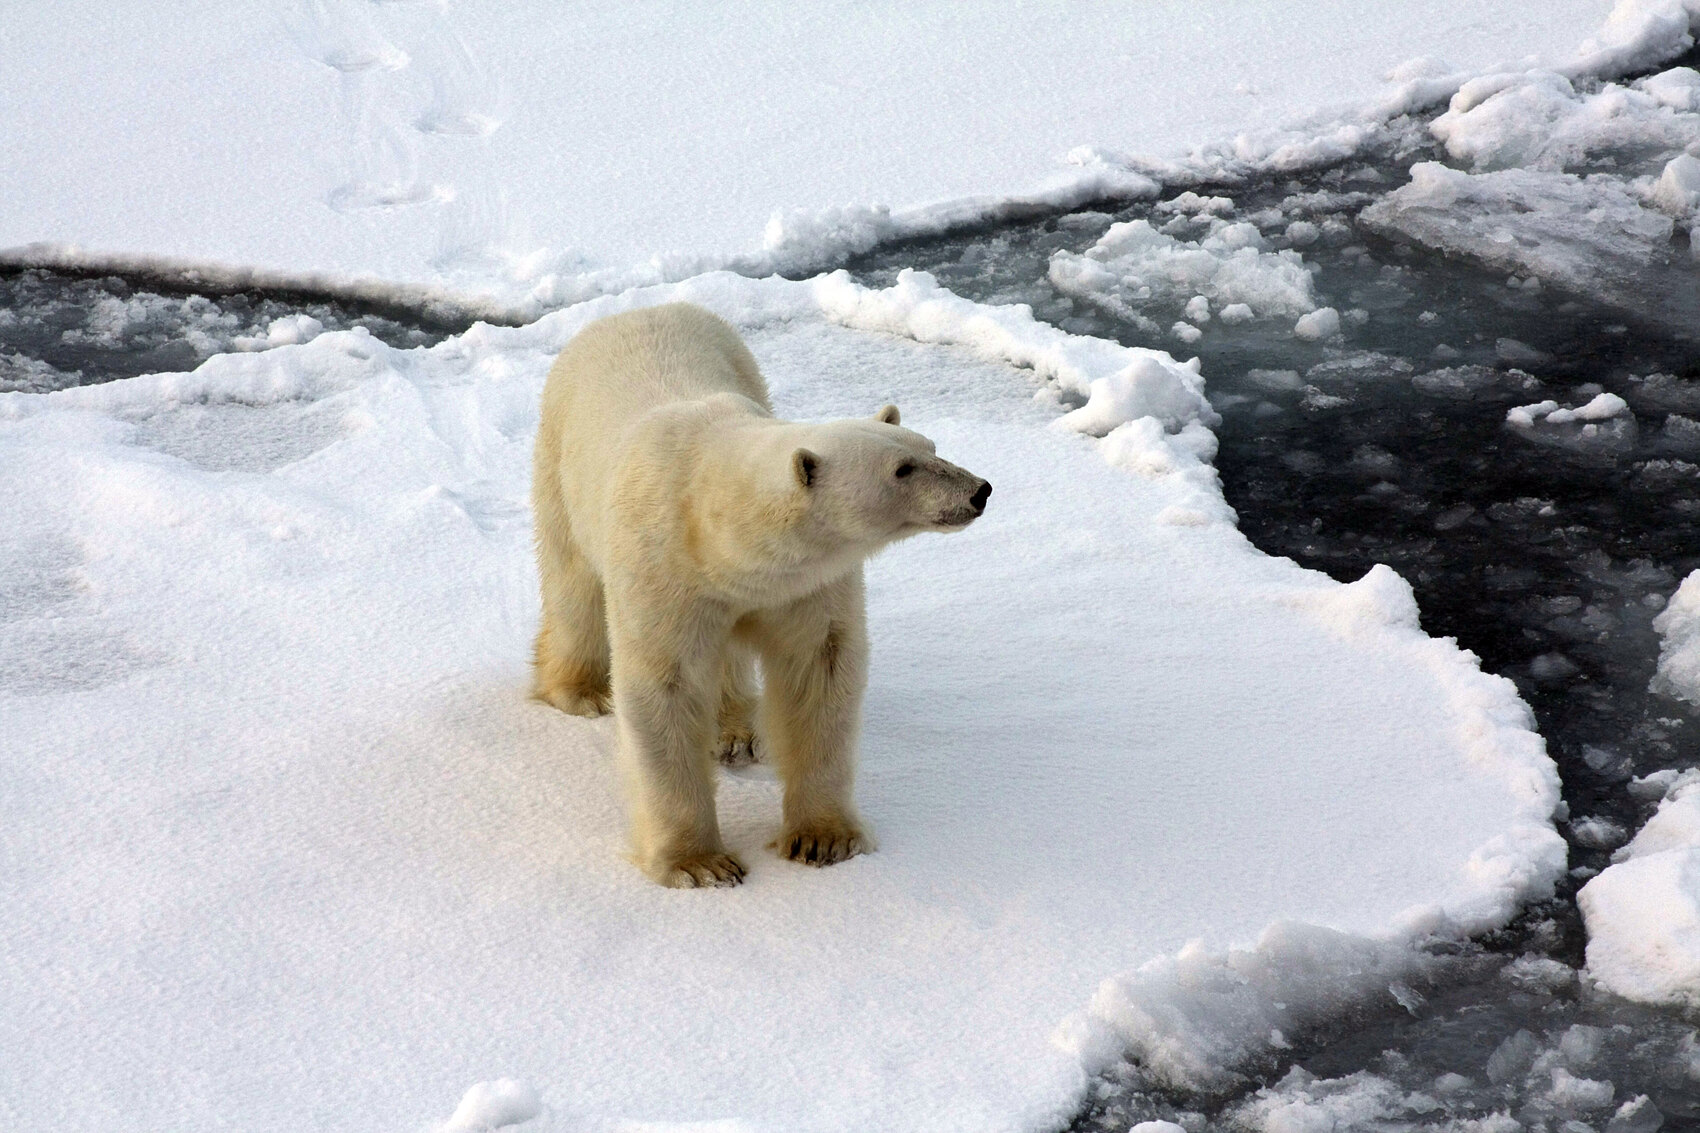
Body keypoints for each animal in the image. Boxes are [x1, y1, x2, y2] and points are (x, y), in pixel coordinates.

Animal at [530, 302, 991, 888]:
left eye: (929, 446)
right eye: (901, 469)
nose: (980, 490)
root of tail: (643, 308)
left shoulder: (803, 585)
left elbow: (818, 669)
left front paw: (823, 838)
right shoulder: (660, 568)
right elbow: (665, 686)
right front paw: (700, 864)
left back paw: (734, 732)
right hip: (560, 455)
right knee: (574, 584)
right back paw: (581, 690)